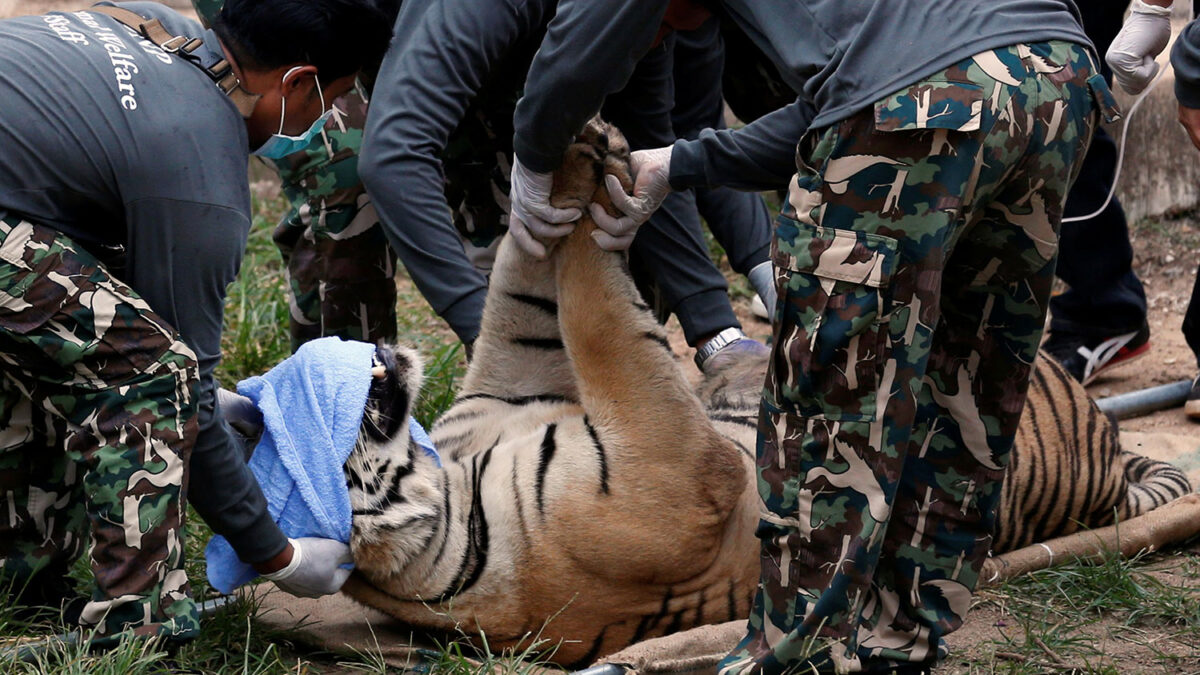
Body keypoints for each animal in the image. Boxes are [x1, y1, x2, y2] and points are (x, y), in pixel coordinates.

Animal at [343, 119, 1195, 662]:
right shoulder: (677, 466)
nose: (370, 350)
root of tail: (1105, 444)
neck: (453, 490)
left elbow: (530, 271)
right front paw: (600, 177)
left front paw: (579, 158)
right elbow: (597, 307)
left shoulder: (509, 381)